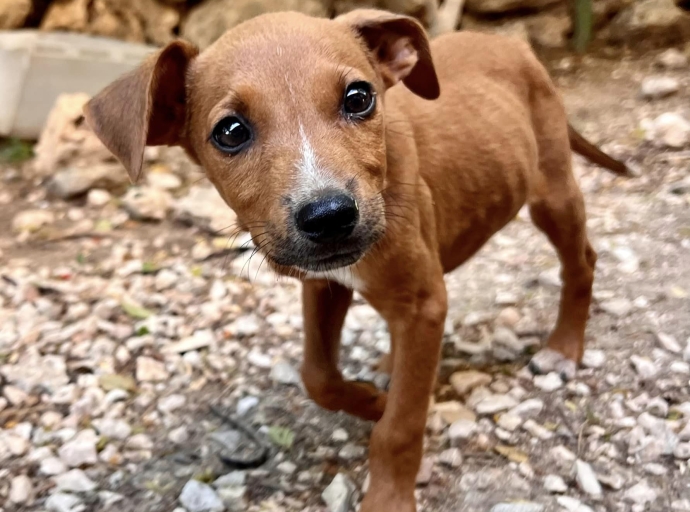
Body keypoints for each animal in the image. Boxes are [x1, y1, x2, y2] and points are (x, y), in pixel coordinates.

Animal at [83, 9, 628, 512]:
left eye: (359, 98)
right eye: (231, 131)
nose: (329, 216)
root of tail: (512, 44)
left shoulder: (422, 302)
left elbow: (400, 428)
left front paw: (388, 492)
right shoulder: (325, 283)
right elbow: (318, 376)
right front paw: (371, 400)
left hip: (553, 192)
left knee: (582, 261)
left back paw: (563, 347)